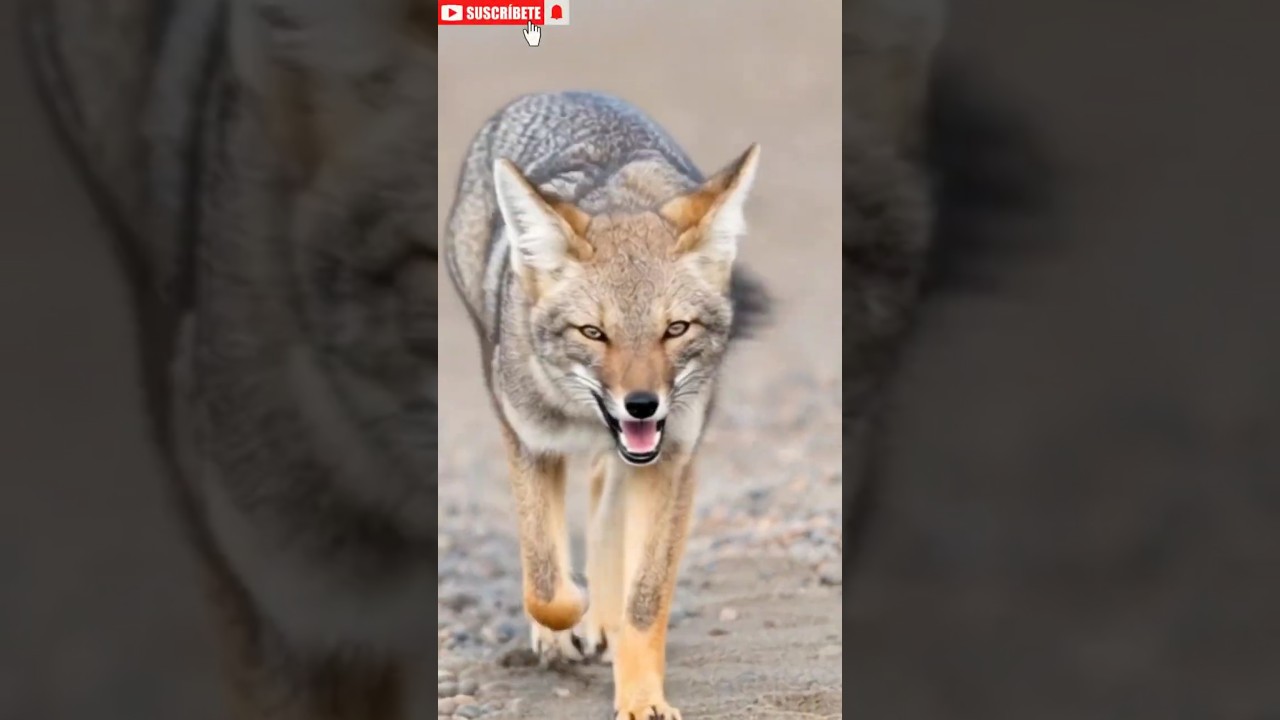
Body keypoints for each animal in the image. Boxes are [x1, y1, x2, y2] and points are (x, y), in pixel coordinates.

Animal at [443, 91, 768, 719]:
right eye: (594, 333)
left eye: (675, 329)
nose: (641, 406)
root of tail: (561, 93)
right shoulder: (530, 443)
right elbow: (546, 585)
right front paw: (564, 624)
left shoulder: (673, 461)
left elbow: (644, 601)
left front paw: (641, 697)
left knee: (602, 498)